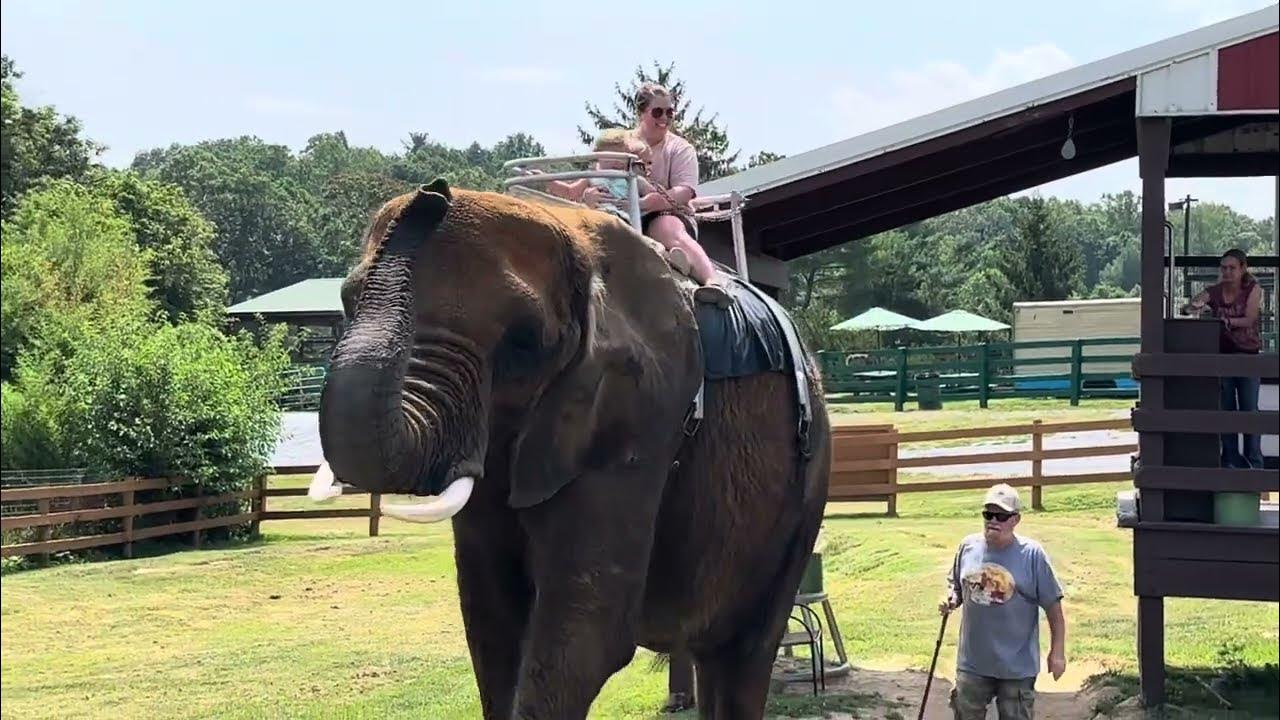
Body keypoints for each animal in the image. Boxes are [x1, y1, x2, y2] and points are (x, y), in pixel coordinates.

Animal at [312, 178, 831, 719]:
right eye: (348, 303)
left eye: (523, 343)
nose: (433, 191)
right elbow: (490, 622)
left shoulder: (639, 416)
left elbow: (585, 633)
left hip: (807, 487)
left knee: (746, 648)